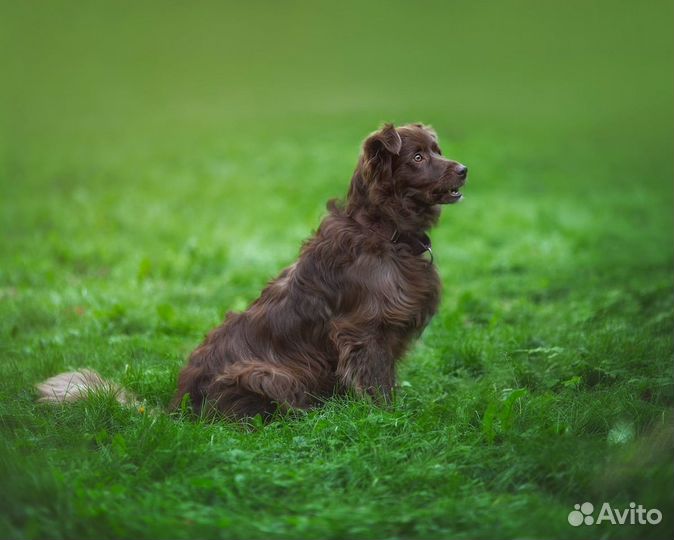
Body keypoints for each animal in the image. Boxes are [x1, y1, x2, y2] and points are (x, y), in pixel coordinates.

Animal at [35, 123, 468, 422]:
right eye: (417, 157)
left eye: (437, 150)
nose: (463, 169)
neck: (383, 229)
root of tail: (179, 411)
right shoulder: (364, 331)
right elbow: (377, 383)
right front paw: (387, 419)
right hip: (264, 372)